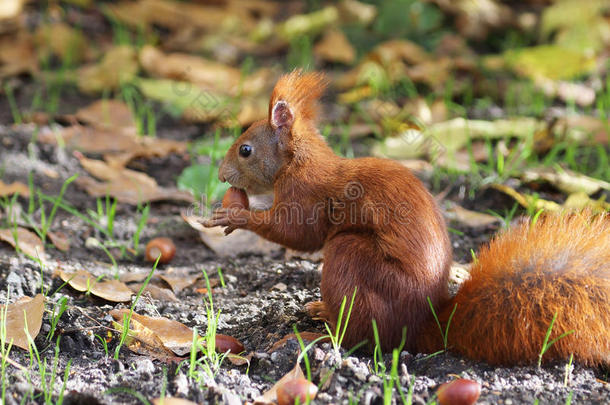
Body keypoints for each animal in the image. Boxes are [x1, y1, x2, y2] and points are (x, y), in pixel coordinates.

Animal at [205, 70, 608, 366]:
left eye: (245, 150)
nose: (222, 175)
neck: (298, 160)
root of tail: (417, 328)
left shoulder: (306, 194)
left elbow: (297, 232)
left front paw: (235, 214)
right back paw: (321, 310)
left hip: (352, 256)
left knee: (361, 339)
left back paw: (314, 335)